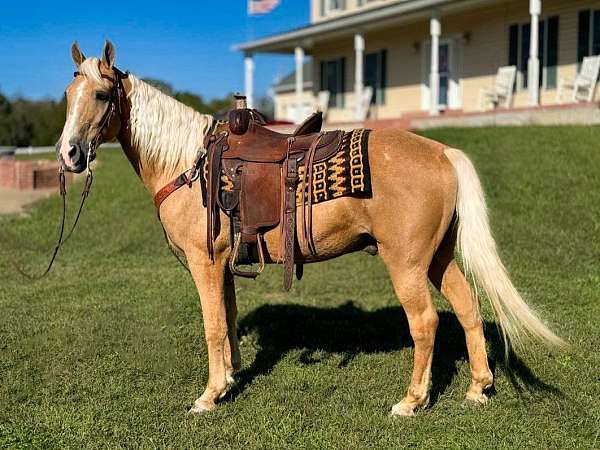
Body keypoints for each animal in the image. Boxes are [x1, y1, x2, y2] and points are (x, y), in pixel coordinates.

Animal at [56, 41, 564, 414]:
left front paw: (209, 396)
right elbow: (229, 319)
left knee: (425, 321)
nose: (69, 155)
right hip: (438, 257)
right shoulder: (224, 266)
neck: (190, 164)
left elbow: (213, 326)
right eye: (67, 96)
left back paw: (412, 401)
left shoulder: (205, 263)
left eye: (101, 95)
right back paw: (478, 388)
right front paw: (230, 380)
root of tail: (441, 152)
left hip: (407, 262)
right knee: (468, 307)